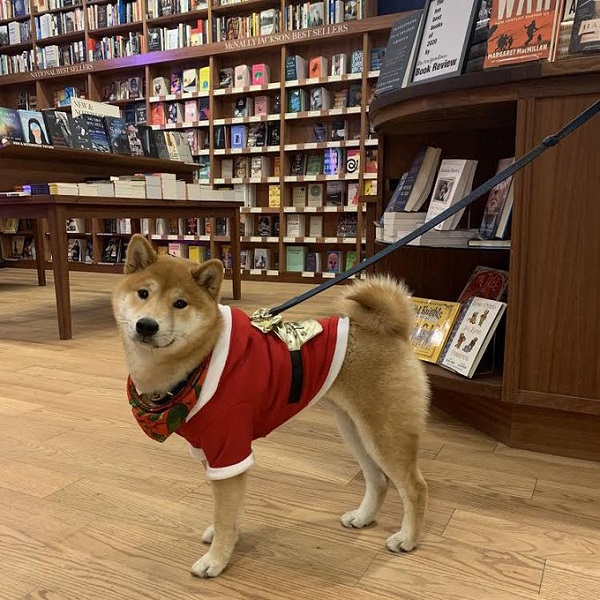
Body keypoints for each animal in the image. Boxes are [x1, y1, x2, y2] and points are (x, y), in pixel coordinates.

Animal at [112, 237, 428, 580]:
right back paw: (363, 517)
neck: (200, 362)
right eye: (143, 293)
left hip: (385, 434)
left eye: (180, 304)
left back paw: (408, 539)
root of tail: (391, 331)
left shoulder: (230, 449)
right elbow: (229, 510)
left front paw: (216, 560)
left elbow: (225, 514)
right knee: (378, 480)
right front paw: (225, 539)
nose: (146, 325)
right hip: (355, 430)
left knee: (415, 487)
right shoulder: (211, 453)